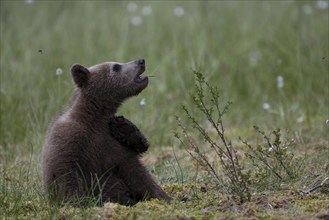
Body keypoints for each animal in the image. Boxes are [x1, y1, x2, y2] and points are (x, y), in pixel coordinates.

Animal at [42, 58, 170, 206]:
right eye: (116, 66)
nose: (141, 61)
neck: (95, 118)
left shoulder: (112, 144)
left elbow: (139, 175)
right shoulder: (70, 139)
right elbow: (66, 174)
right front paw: (79, 203)